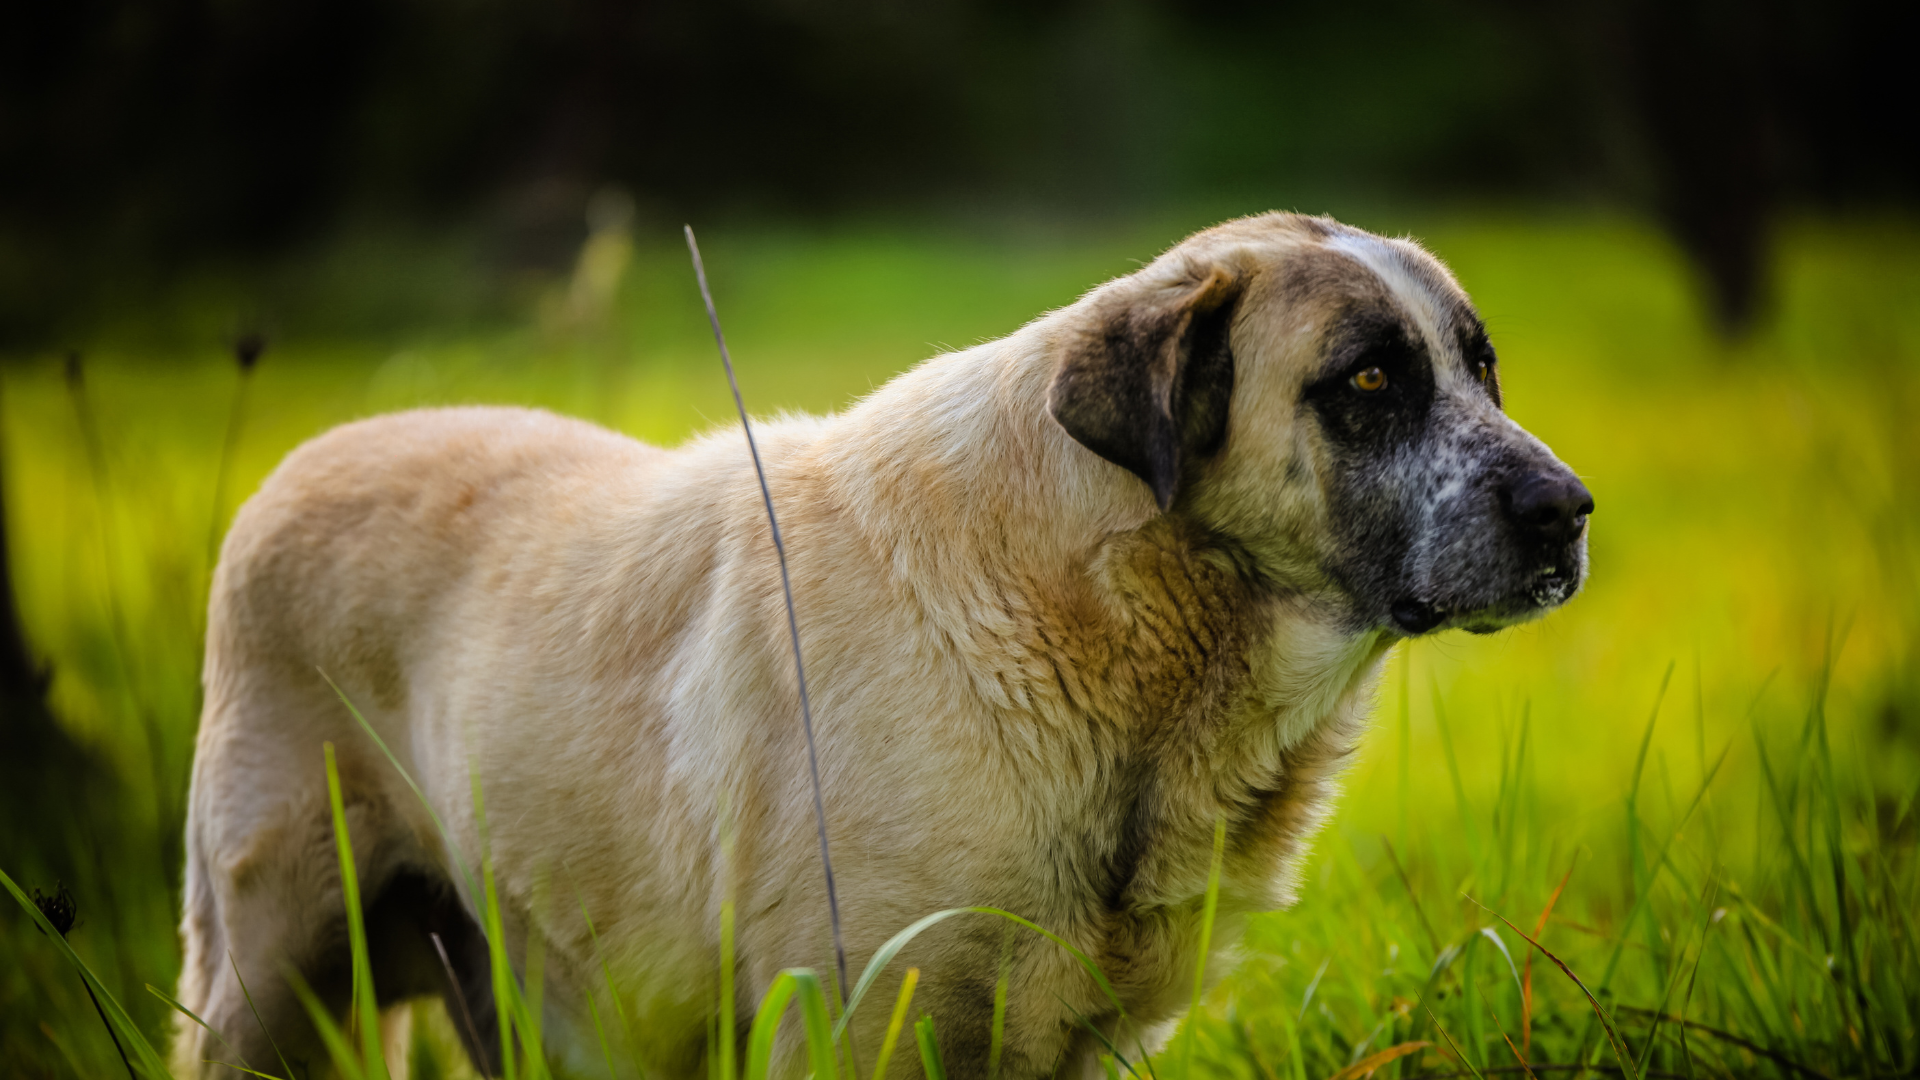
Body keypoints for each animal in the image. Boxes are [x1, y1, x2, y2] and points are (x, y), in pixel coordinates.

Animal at [176, 212, 1589, 1076]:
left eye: (1481, 367)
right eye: (1368, 381)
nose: (1570, 511)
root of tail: (290, 469)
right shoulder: (861, 1021)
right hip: (269, 973)